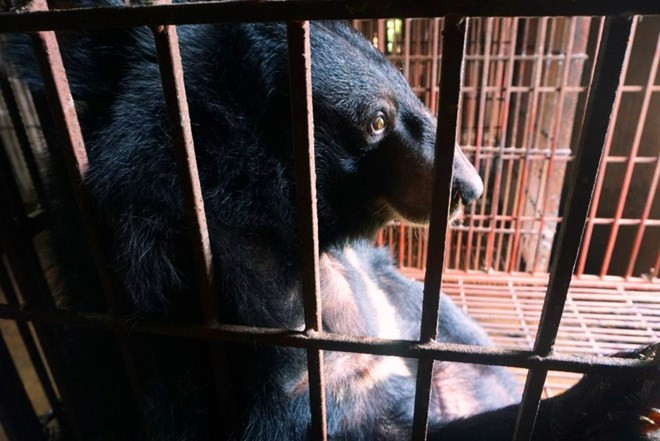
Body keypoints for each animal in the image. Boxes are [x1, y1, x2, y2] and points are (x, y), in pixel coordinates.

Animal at [5, 2, 659, 440]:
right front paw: (617, 396)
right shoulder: (225, 311)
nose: (470, 188)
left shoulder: (372, 265)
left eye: (411, 96)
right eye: (376, 120)